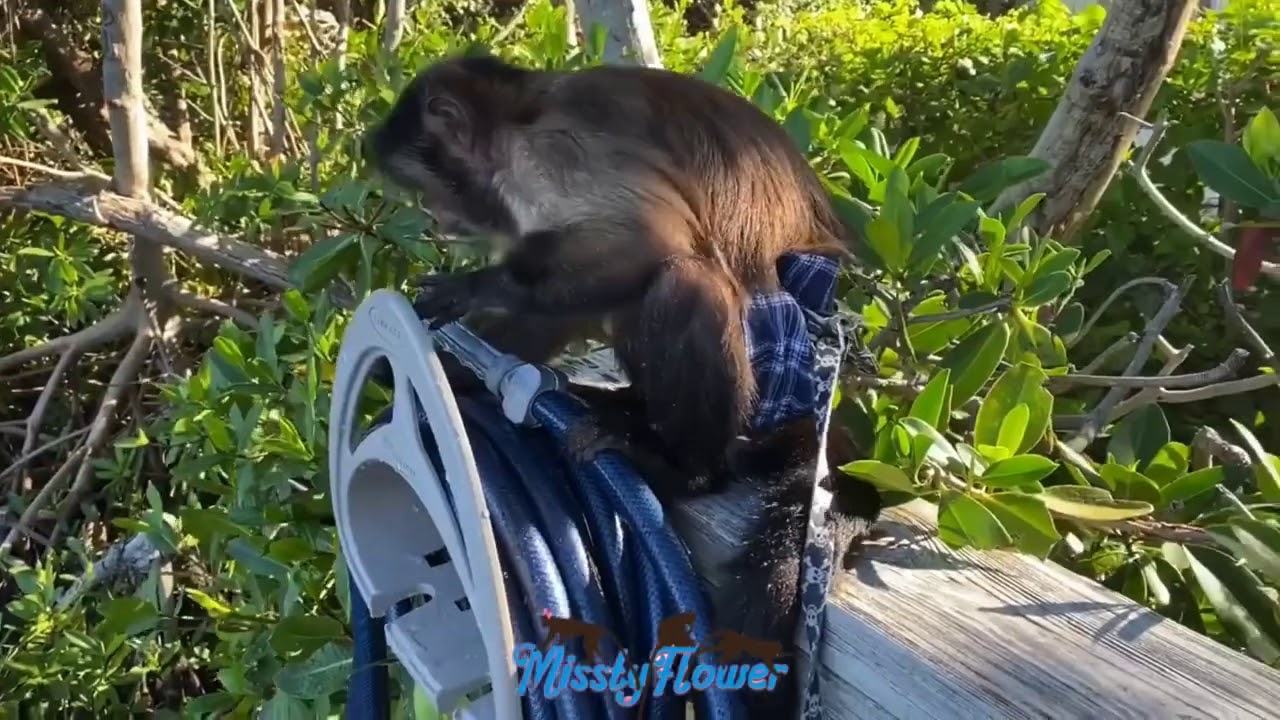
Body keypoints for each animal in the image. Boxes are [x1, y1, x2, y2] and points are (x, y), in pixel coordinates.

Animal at [364, 52, 883, 715]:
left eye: (427, 189)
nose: (438, 220)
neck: (519, 115)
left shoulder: (547, 153)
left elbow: (643, 242)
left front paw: (479, 287)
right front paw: (455, 374)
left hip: (777, 373)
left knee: (684, 278)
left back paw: (685, 467)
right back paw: (628, 409)